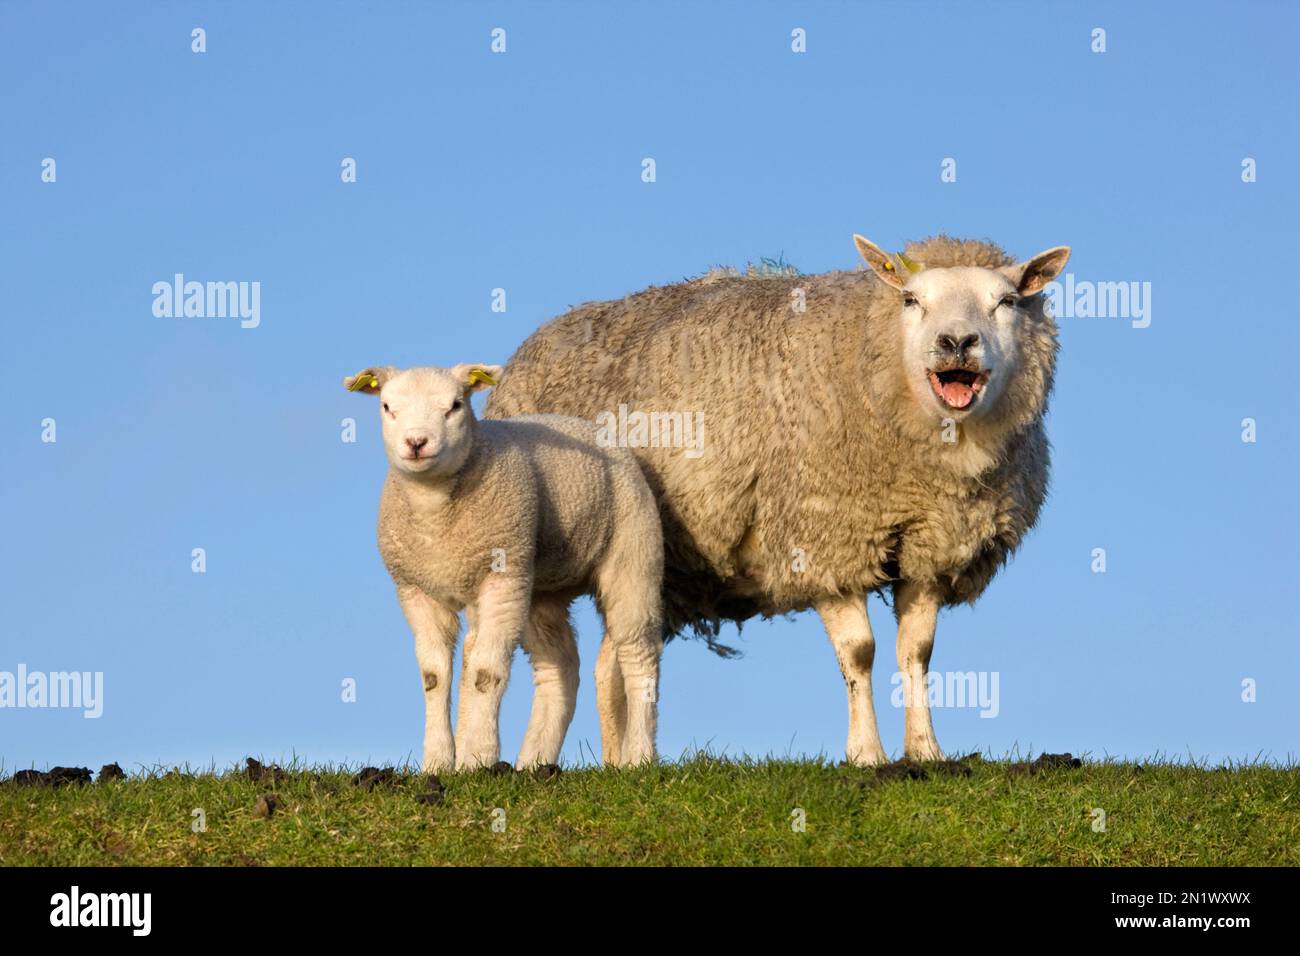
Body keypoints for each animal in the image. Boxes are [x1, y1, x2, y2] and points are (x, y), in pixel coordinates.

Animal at [344, 363, 664, 771]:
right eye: (387, 407)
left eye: (455, 405)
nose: (416, 443)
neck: (435, 514)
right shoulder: (416, 590)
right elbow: (434, 676)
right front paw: (438, 761)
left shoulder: (500, 579)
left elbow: (485, 672)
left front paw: (478, 757)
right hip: (539, 585)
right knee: (558, 667)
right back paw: (534, 762)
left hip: (632, 555)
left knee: (639, 653)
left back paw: (639, 755)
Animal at [485, 233, 1070, 764]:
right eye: (910, 299)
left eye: (1006, 301)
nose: (956, 342)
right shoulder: (823, 539)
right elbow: (860, 654)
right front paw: (867, 755)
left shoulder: (931, 548)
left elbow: (917, 653)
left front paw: (925, 752)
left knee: (613, 661)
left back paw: (621, 763)